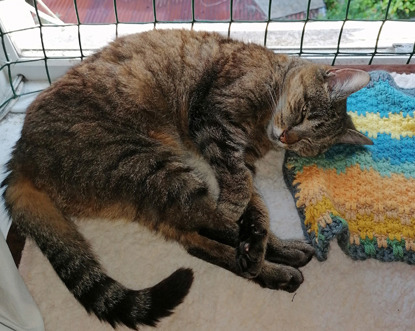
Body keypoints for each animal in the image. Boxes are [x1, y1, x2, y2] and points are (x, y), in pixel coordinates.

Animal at [1, 29, 372, 330]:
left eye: (309, 142)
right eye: (304, 112)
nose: (287, 138)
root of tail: (20, 158)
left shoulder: (237, 159)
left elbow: (255, 205)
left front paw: (254, 235)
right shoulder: (214, 122)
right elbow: (241, 194)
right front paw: (244, 225)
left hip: (154, 185)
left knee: (196, 238)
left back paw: (275, 261)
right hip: (152, 167)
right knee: (208, 224)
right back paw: (270, 255)